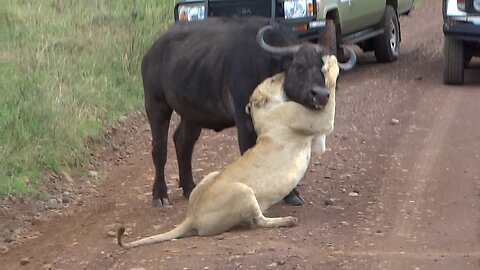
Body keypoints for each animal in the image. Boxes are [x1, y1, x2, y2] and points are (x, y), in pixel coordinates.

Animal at [141, 16, 354, 207]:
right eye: (299, 66)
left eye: (322, 69)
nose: (321, 95)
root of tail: (151, 53)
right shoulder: (244, 121)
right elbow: (248, 150)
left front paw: (291, 194)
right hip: (156, 103)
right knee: (159, 148)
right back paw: (160, 195)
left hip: (193, 112)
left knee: (183, 141)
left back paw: (189, 188)